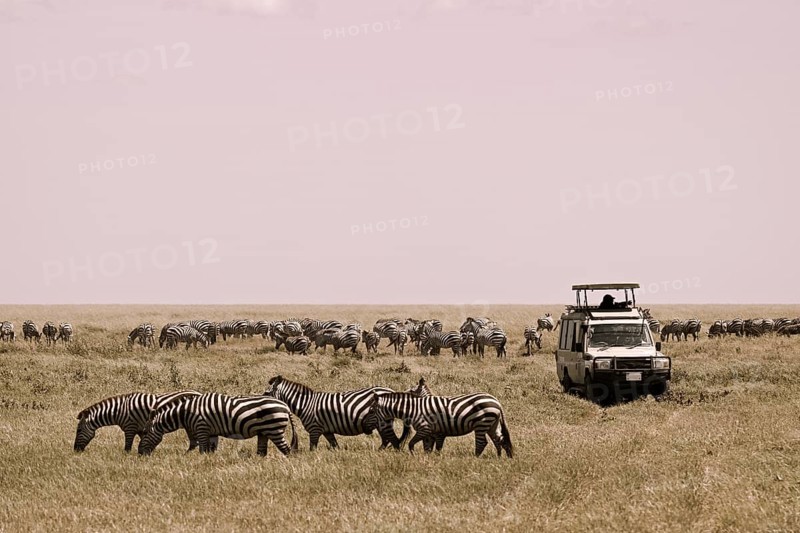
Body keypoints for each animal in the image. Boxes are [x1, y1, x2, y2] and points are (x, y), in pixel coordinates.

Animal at [74, 390, 203, 452]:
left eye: (79, 430)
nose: (76, 450)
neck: (118, 411)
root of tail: (199, 393)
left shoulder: (130, 427)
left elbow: (127, 448)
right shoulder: (141, 430)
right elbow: (145, 441)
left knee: (195, 442)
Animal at [138, 393, 297, 457]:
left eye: (145, 433)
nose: (140, 453)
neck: (186, 412)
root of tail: (286, 407)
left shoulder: (202, 428)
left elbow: (203, 450)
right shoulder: (212, 432)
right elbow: (210, 451)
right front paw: (210, 465)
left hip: (274, 429)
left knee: (286, 449)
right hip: (264, 432)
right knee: (262, 452)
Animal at [264, 375, 405, 450]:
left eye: (266, 393)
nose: (262, 402)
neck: (306, 404)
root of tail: (391, 391)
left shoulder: (315, 429)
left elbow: (312, 448)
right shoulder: (327, 431)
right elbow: (335, 446)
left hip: (384, 422)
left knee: (392, 439)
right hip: (381, 423)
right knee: (386, 439)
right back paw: (380, 452)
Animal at [368, 391, 513, 457]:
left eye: (370, 411)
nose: (366, 427)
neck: (413, 410)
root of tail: (497, 402)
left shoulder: (424, 428)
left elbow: (411, 443)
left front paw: (414, 455)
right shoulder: (432, 433)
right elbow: (430, 448)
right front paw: (430, 459)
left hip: (481, 423)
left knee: (482, 442)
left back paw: (475, 458)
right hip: (492, 424)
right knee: (499, 439)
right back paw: (501, 457)